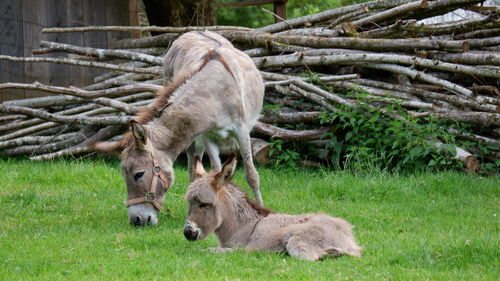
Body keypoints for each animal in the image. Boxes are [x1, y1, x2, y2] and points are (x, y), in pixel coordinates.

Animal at [183, 154, 360, 260]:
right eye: (189, 202)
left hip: (297, 243)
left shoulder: (242, 248)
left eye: (204, 204)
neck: (241, 226)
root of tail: (347, 234)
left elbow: (215, 250)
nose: (188, 232)